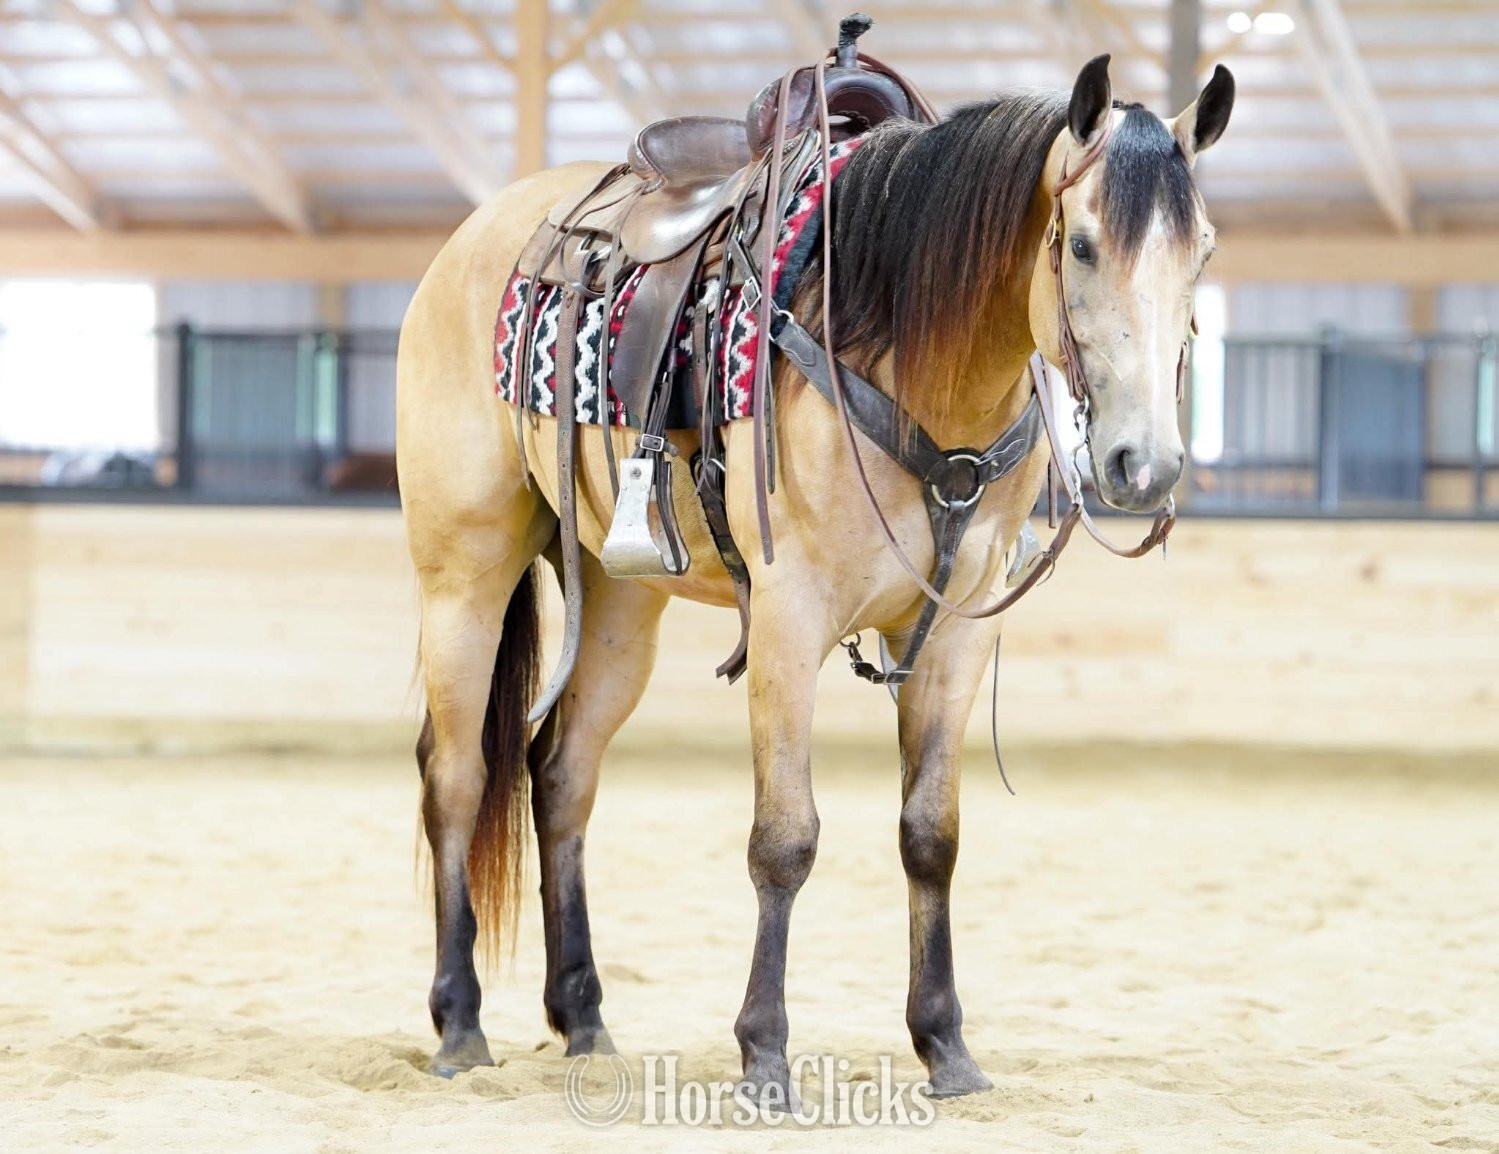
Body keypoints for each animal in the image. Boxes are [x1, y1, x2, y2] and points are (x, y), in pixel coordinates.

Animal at [395, 52, 1235, 1100]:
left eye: (1201, 251)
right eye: (1080, 246)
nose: (1143, 465)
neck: (914, 351)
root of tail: (472, 242)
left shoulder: (956, 629)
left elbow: (931, 835)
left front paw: (944, 1044)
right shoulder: (789, 620)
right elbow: (783, 838)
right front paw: (763, 1052)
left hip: (620, 600)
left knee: (561, 777)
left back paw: (583, 1019)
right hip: (462, 575)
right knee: (457, 778)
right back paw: (459, 1023)